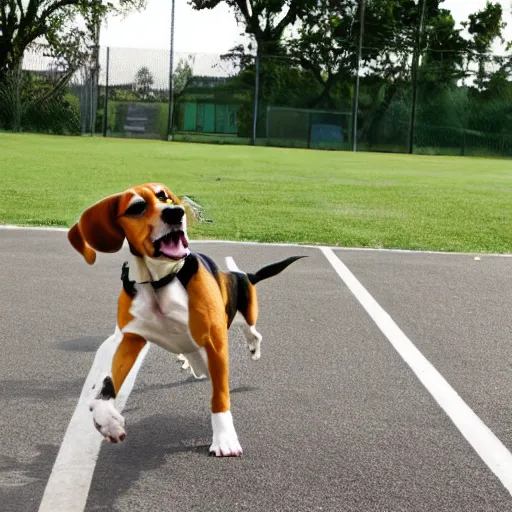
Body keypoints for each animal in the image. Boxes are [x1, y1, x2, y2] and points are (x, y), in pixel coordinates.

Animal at [66, 183, 304, 456]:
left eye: (163, 196)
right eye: (137, 207)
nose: (175, 212)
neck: (159, 281)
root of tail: (243, 275)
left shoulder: (215, 343)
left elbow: (220, 396)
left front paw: (224, 438)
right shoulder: (131, 340)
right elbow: (107, 381)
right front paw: (107, 420)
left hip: (246, 313)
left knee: (253, 331)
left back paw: (253, 347)